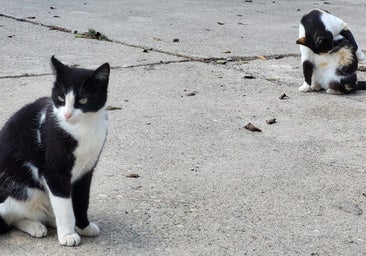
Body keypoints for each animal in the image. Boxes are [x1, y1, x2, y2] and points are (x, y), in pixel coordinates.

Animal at [0, 56, 110, 246]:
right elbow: (63, 205)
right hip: (22, 189)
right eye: (60, 98)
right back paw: (36, 225)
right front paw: (67, 234)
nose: (67, 115)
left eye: (83, 100)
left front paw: (84, 226)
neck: (83, 129)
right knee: (11, 216)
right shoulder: (55, 171)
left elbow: (82, 199)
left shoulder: (87, 170)